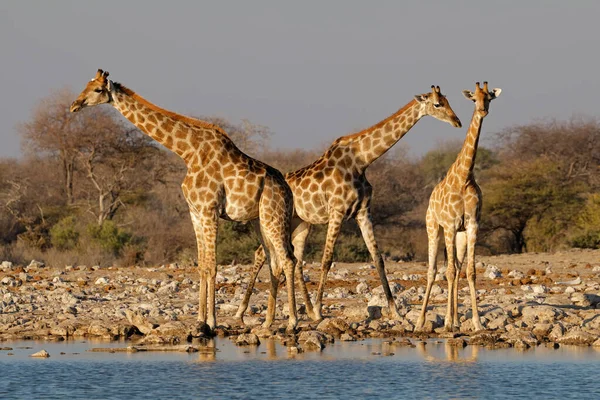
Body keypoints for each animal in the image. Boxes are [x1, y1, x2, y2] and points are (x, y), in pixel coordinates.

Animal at [71, 69, 300, 332]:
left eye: (98, 89)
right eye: (86, 84)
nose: (75, 105)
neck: (187, 152)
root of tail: (287, 190)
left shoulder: (209, 210)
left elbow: (212, 266)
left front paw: (211, 322)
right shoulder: (195, 212)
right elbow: (202, 265)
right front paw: (200, 320)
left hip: (274, 216)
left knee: (289, 259)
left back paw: (292, 322)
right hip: (260, 220)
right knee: (274, 262)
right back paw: (268, 323)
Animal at [237, 85, 462, 322]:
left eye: (447, 101)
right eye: (437, 104)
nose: (457, 121)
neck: (361, 161)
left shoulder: (363, 212)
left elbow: (378, 259)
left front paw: (396, 311)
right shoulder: (337, 211)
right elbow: (327, 259)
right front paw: (319, 308)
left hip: (301, 223)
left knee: (291, 259)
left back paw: (302, 310)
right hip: (276, 222)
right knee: (264, 254)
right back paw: (244, 311)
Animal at [414, 80, 500, 332]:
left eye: (489, 98)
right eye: (474, 99)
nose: (482, 111)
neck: (464, 177)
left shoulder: (472, 225)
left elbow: (469, 272)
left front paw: (477, 323)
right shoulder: (450, 225)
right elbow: (449, 272)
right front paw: (448, 323)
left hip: (459, 235)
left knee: (458, 267)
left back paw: (456, 321)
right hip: (434, 228)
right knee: (434, 270)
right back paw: (421, 322)